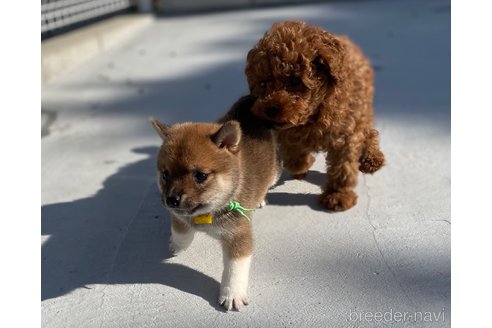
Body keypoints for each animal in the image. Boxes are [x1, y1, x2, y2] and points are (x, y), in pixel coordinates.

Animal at [150, 96, 280, 312]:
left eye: (201, 176)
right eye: (165, 174)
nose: (171, 200)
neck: (207, 213)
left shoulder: (238, 236)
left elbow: (234, 270)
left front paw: (232, 293)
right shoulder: (179, 216)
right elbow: (181, 230)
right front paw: (178, 245)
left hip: (275, 172)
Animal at [246, 21, 384, 210]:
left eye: (295, 81)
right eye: (263, 84)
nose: (271, 110)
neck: (315, 114)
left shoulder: (344, 135)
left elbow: (343, 168)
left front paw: (337, 196)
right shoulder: (286, 132)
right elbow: (292, 157)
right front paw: (304, 164)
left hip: (362, 110)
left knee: (369, 132)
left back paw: (372, 159)